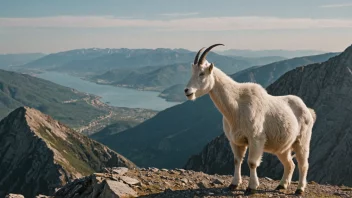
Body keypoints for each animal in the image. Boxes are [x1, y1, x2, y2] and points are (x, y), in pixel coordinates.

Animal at [184, 44, 316, 195]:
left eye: (202, 73)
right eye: (192, 73)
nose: (187, 91)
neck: (236, 105)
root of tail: (308, 111)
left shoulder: (256, 139)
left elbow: (252, 162)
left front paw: (251, 187)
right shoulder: (235, 141)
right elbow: (237, 161)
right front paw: (234, 184)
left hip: (302, 140)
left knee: (303, 164)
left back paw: (299, 189)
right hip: (283, 147)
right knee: (290, 164)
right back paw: (281, 186)